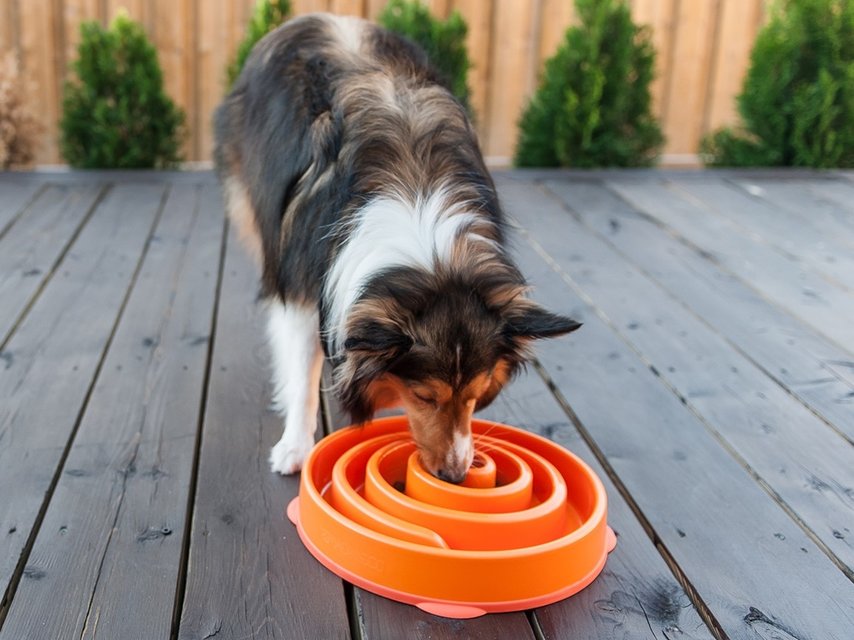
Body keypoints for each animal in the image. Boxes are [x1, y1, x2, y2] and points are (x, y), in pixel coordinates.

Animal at [214, 12, 580, 482]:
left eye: (475, 395)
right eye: (424, 396)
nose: (455, 476)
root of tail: (319, 16)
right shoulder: (301, 285)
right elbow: (301, 369)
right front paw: (294, 445)